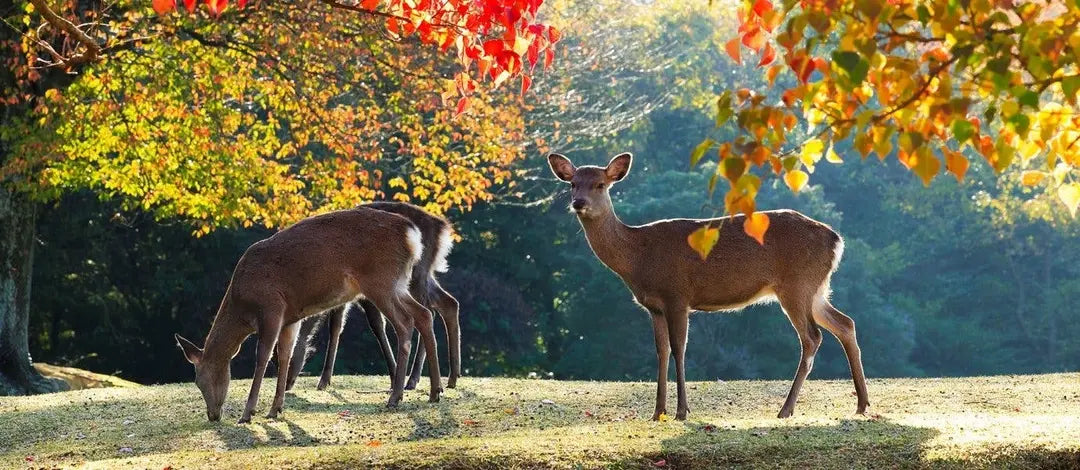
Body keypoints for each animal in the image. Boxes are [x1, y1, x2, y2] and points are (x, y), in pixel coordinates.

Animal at [173, 207, 442, 425]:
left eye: (200, 381)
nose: (212, 415)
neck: (243, 306)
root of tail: (411, 235)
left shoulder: (272, 307)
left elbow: (262, 357)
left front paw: (248, 413)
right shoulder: (290, 319)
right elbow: (284, 356)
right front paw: (275, 409)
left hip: (381, 281)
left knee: (405, 323)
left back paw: (396, 396)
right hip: (397, 283)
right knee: (424, 314)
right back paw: (434, 391)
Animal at [287, 202, 460, 393]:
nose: (286, 383)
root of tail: (442, 228)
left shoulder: (363, 293)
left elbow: (376, 325)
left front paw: (394, 375)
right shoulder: (344, 297)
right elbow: (336, 327)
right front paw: (325, 380)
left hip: (414, 275)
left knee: (429, 310)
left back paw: (414, 379)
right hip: (423, 275)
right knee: (448, 302)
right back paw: (452, 377)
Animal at [548, 152, 868, 421]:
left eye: (600, 184)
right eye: (573, 184)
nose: (578, 203)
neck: (639, 258)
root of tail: (836, 240)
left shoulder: (677, 295)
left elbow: (679, 348)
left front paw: (682, 412)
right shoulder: (654, 306)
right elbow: (661, 351)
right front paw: (657, 412)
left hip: (797, 284)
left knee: (812, 337)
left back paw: (786, 409)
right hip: (816, 288)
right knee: (845, 323)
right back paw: (862, 404)